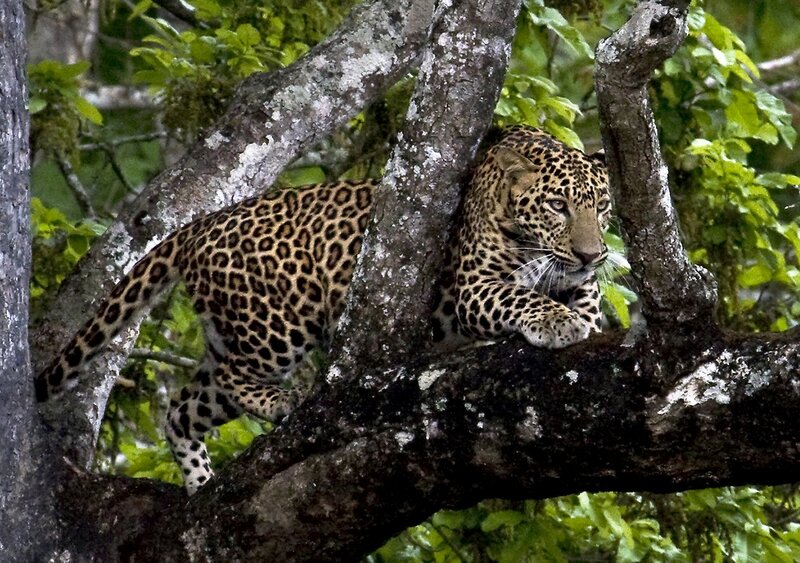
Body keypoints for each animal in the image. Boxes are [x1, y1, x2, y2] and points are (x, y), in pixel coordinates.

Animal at [37, 126, 612, 494]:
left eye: (601, 207)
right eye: (557, 206)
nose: (592, 252)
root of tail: (201, 224)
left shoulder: (579, 272)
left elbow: (589, 294)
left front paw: (581, 311)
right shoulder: (472, 285)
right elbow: (520, 294)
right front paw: (558, 319)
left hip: (229, 336)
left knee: (182, 407)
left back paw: (201, 483)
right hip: (277, 326)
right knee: (231, 375)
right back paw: (282, 402)